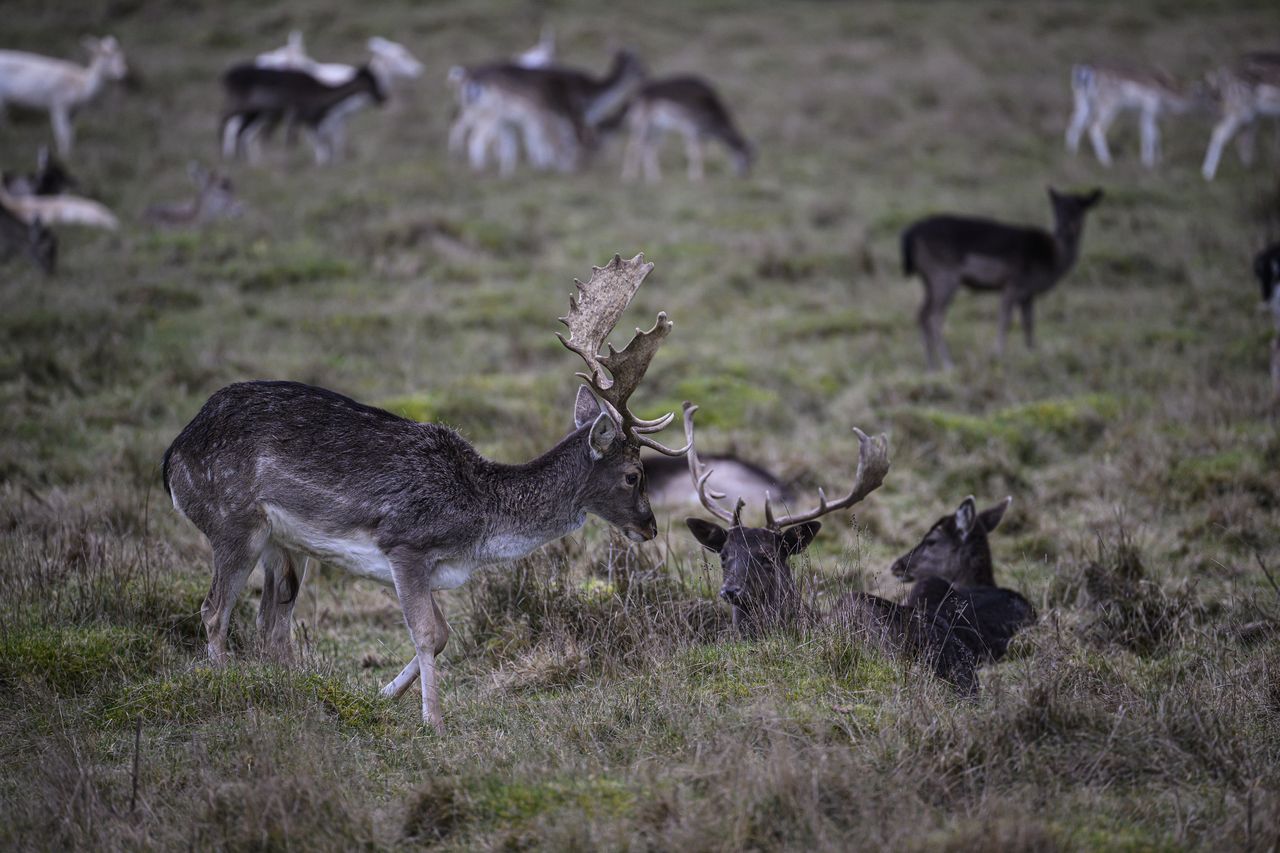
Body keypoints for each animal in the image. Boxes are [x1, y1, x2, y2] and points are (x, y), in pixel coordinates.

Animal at [162, 253, 691, 733]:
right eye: (633, 474)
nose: (649, 526)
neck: (480, 526)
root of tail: (173, 457)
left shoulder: (433, 569)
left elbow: (443, 635)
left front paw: (379, 695)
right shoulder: (406, 545)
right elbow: (428, 632)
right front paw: (432, 721)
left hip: (284, 545)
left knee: (271, 623)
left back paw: (292, 692)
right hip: (233, 521)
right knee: (214, 610)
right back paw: (227, 687)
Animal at [220, 64, 386, 165]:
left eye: (376, 78)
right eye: (370, 81)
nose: (382, 97)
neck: (319, 94)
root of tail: (226, 76)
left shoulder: (312, 120)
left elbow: (321, 142)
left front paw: (325, 163)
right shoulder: (298, 115)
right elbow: (295, 140)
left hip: (253, 113)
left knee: (242, 132)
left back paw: (243, 159)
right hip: (241, 106)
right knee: (226, 120)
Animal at [621, 76, 753, 182]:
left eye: (753, 160)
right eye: (746, 158)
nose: (745, 176)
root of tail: (636, 96)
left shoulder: (703, 135)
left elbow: (702, 153)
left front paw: (700, 176)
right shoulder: (691, 129)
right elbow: (694, 153)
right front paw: (695, 178)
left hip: (657, 129)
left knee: (649, 147)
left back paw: (654, 178)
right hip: (641, 123)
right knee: (633, 145)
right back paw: (629, 177)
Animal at [900, 187, 1103, 371]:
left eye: (1080, 209)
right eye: (1057, 209)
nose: (1062, 229)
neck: (1052, 261)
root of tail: (910, 233)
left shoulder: (1028, 294)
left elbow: (1029, 323)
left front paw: (1031, 353)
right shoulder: (1013, 285)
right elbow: (1005, 321)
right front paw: (998, 355)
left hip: (929, 280)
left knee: (922, 314)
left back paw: (932, 366)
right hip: (944, 276)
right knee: (934, 317)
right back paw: (948, 364)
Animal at [1065, 64, 1197, 168]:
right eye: (1200, 93)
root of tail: (1084, 74)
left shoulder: (1150, 112)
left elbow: (1156, 133)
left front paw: (1159, 160)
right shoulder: (1150, 106)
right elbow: (1148, 132)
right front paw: (1148, 162)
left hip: (1082, 101)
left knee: (1074, 121)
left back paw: (1071, 152)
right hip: (1109, 104)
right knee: (1095, 126)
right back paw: (1107, 161)